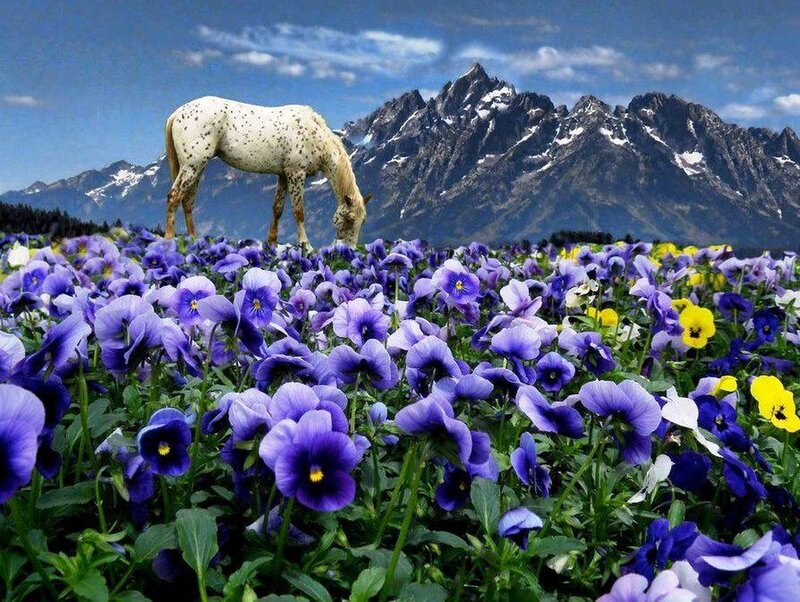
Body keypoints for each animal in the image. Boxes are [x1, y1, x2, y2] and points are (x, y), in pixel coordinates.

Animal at [163, 96, 372, 247]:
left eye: (363, 221)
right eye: (350, 219)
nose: (349, 250)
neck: (315, 134)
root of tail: (177, 113)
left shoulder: (284, 175)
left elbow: (277, 208)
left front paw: (272, 242)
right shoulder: (296, 173)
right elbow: (299, 211)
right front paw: (306, 246)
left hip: (197, 167)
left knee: (187, 200)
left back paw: (193, 238)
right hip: (192, 166)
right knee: (174, 196)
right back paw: (168, 238)